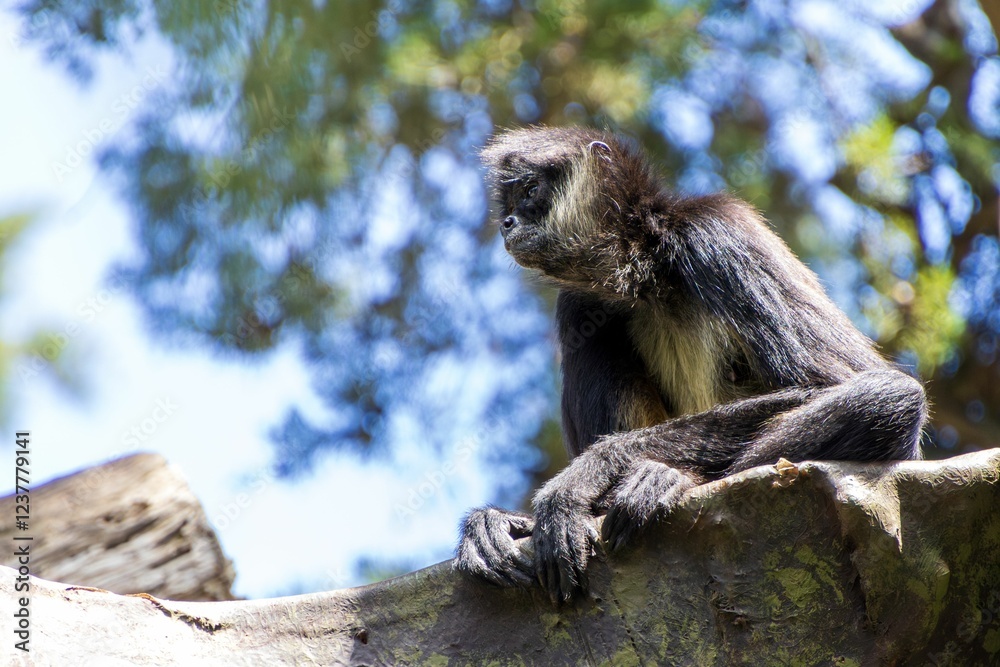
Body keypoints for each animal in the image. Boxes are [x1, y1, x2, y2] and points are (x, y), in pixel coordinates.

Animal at [454, 125, 927, 603]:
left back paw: (669, 477)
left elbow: (842, 381)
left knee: (890, 398)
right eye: (507, 206)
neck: (648, 274)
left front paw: (594, 468)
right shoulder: (581, 299)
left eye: (530, 191)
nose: (507, 224)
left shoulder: (715, 232)